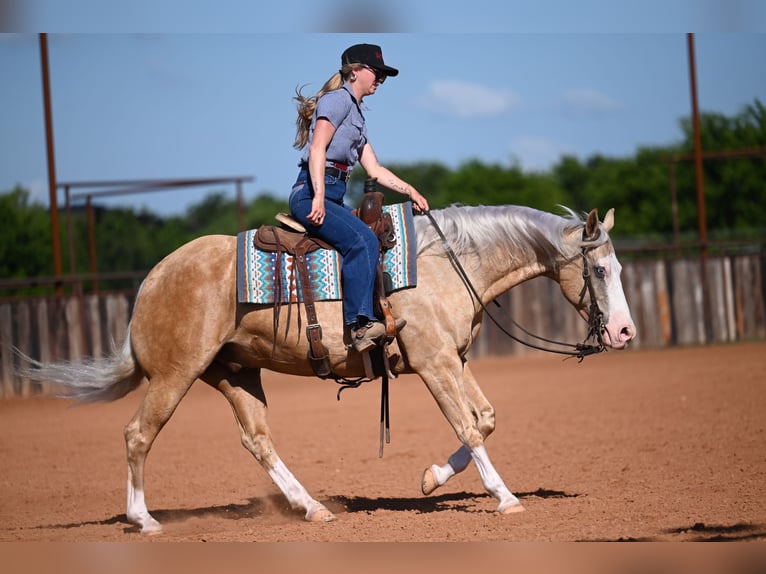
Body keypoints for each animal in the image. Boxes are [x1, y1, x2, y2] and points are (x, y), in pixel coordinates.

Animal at [27, 204, 636, 533]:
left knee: (258, 440)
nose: (626, 333)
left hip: (235, 373)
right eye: (600, 270)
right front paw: (506, 499)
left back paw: (313, 508)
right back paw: (144, 519)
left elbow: (484, 420)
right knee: (138, 435)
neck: (446, 263)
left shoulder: (454, 359)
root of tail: (151, 280)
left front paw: (431, 477)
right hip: (174, 376)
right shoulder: (434, 362)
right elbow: (468, 426)